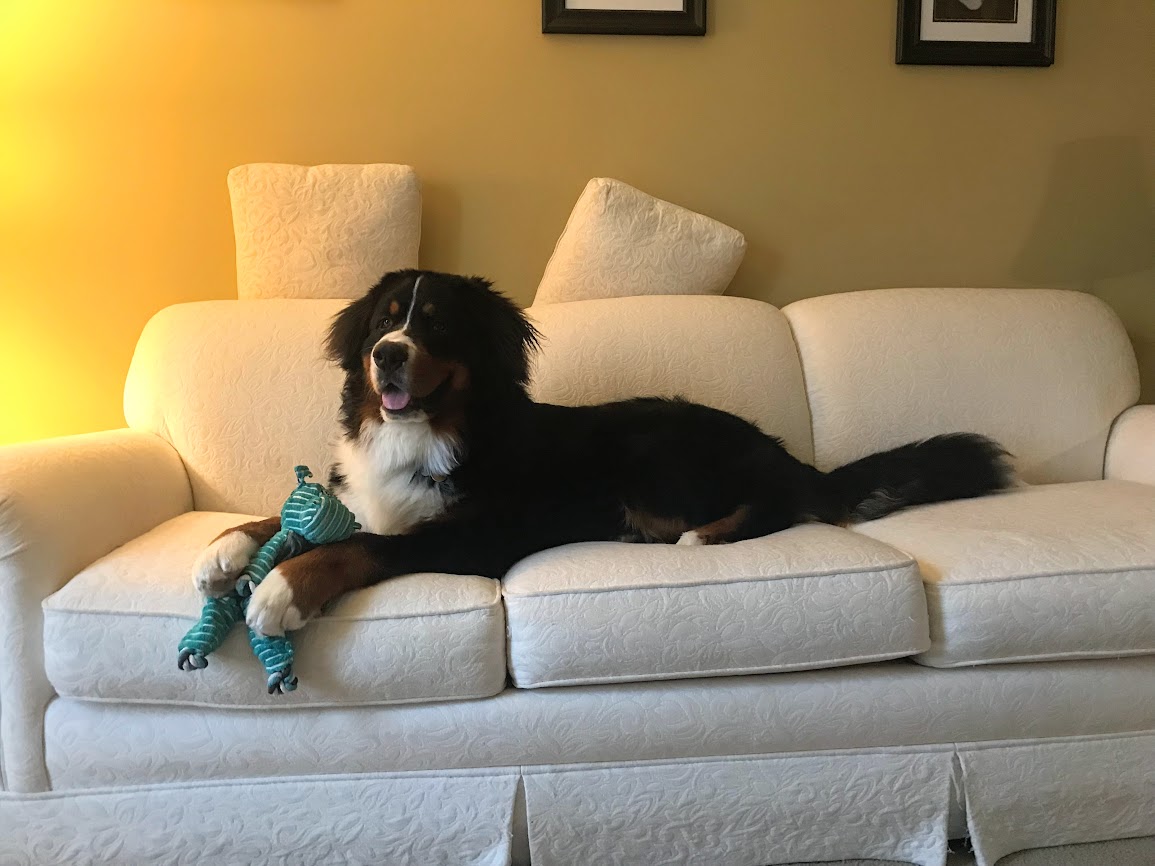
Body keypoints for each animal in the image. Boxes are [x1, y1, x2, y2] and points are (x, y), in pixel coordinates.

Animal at [194, 270, 1016, 637]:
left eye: (436, 324)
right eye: (382, 323)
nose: (388, 356)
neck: (424, 429)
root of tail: (771, 444)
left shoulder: (474, 533)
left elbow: (360, 546)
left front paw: (283, 590)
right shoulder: (360, 492)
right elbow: (286, 519)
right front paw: (224, 550)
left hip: (653, 452)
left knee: (780, 505)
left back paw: (702, 536)